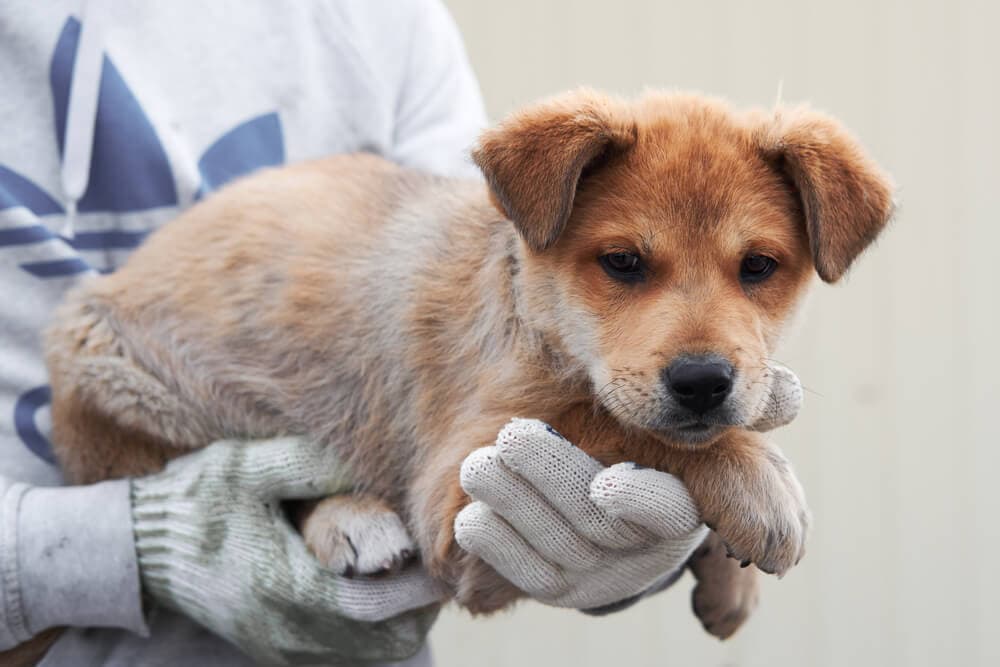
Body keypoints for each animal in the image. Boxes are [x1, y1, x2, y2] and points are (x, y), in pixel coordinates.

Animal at [43, 90, 896, 636]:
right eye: (622, 262)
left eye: (758, 267)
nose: (703, 382)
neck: (535, 318)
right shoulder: (453, 487)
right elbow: (614, 423)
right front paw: (754, 481)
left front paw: (728, 573)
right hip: (137, 385)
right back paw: (349, 518)